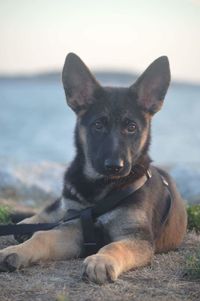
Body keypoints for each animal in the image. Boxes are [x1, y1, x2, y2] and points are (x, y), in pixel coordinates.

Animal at [0, 52, 188, 282]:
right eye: (98, 125)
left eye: (131, 127)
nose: (115, 167)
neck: (101, 188)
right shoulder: (73, 228)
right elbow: (43, 236)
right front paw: (15, 251)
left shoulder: (136, 237)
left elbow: (115, 247)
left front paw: (101, 260)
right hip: (68, 200)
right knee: (53, 210)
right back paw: (27, 224)